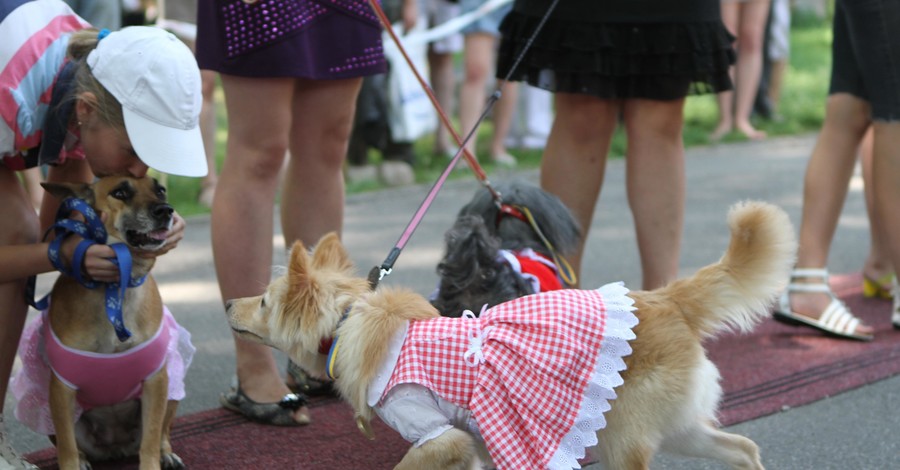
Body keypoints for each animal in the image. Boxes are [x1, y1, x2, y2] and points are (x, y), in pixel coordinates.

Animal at [22, 177, 186, 470]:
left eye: (160, 189)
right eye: (119, 192)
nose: (165, 210)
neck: (115, 288)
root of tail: (115, 448)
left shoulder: (155, 380)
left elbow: (150, 440)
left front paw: (155, 458)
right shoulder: (62, 389)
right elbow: (66, 448)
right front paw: (72, 463)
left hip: (169, 398)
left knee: (162, 432)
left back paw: (166, 453)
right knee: (71, 444)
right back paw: (83, 459)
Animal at [225, 201, 796, 470]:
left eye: (265, 301)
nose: (228, 302)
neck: (347, 324)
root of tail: (667, 298)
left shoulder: (438, 435)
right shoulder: (468, 446)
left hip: (624, 439)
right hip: (674, 427)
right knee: (743, 448)